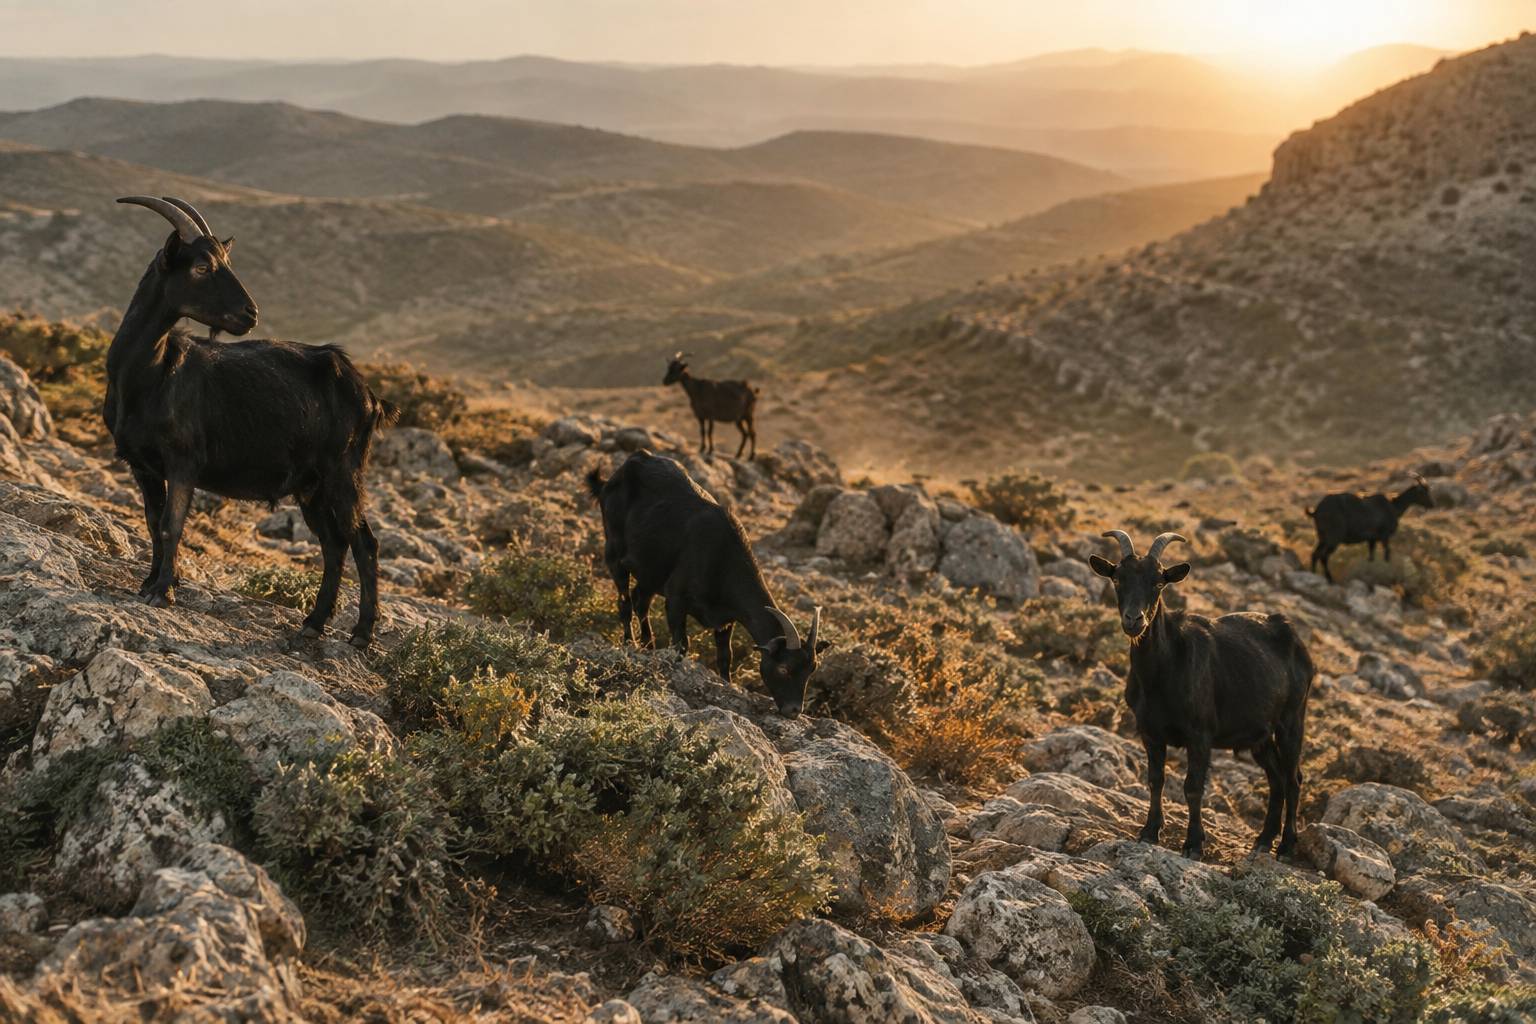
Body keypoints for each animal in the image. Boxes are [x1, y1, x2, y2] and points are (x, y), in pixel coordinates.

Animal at [107, 196, 396, 647]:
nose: (250, 313)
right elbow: (154, 524)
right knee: (333, 544)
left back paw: (362, 634)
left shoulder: (184, 461)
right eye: (201, 266)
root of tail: (365, 393)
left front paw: (163, 592)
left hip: (343, 471)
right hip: (311, 485)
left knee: (364, 542)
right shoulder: (142, 465)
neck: (149, 375)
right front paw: (151, 582)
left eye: (225, 260)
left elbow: (172, 525)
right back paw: (314, 622)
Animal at [586, 450, 826, 716]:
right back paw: (631, 643)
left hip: (650, 572)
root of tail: (616, 474)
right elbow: (681, 644)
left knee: (641, 601)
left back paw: (648, 646)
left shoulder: (726, 619)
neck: (723, 558)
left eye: (812, 669)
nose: (794, 710)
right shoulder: (676, 599)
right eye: (783, 668)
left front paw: (726, 685)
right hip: (614, 553)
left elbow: (725, 656)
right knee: (625, 603)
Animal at [1090, 530, 1314, 861]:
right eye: (1117, 578)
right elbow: (1155, 780)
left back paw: (1286, 846)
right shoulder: (1149, 732)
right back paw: (1263, 839)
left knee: (1293, 777)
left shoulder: (1200, 734)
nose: (1134, 620)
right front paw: (1149, 832)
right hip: (1258, 735)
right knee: (1276, 778)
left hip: (1292, 719)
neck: (1162, 672)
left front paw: (1194, 844)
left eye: (1159, 582)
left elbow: (1193, 787)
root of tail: (1293, 636)